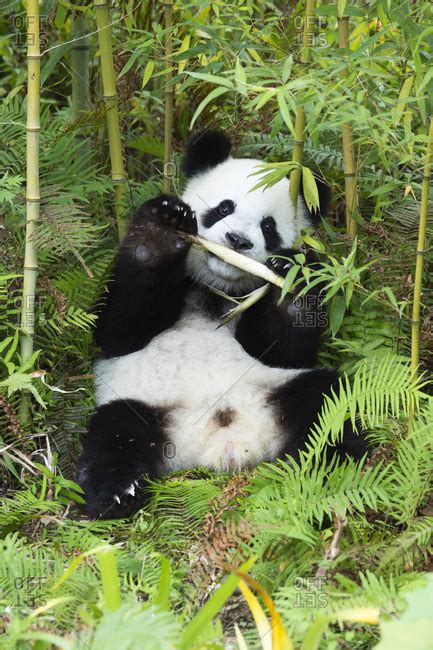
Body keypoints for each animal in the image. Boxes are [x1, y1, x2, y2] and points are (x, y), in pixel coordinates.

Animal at [77, 129, 364, 520]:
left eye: (269, 227)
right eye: (224, 208)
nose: (237, 240)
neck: (217, 288)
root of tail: (223, 444)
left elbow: (284, 350)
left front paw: (293, 277)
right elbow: (119, 330)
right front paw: (161, 233)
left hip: (280, 389)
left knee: (326, 405)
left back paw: (330, 472)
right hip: (144, 405)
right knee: (115, 437)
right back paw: (117, 494)